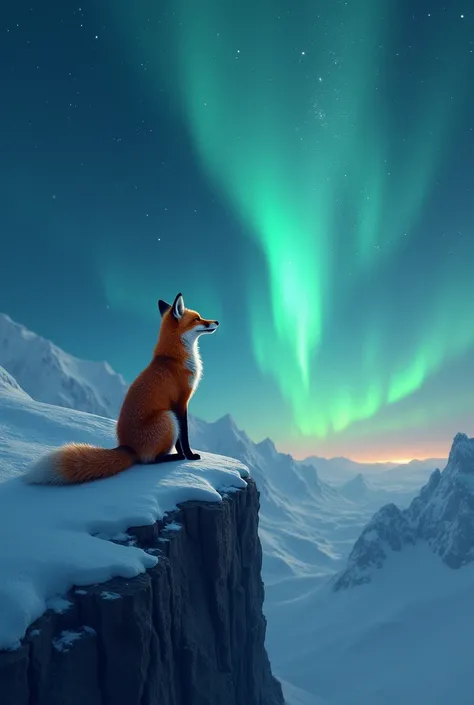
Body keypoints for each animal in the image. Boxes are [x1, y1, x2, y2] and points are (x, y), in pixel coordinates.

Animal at [25, 292, 219, 484]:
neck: (174, 358)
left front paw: (185, 455)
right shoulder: (180, 402)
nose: (217, 322)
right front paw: (190, 456)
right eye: (197, 319)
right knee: (150, 460)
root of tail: (127, 447)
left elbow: (179, 442)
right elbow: (184, 438)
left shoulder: (178, 404)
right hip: (168, 417)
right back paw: (173, 457)